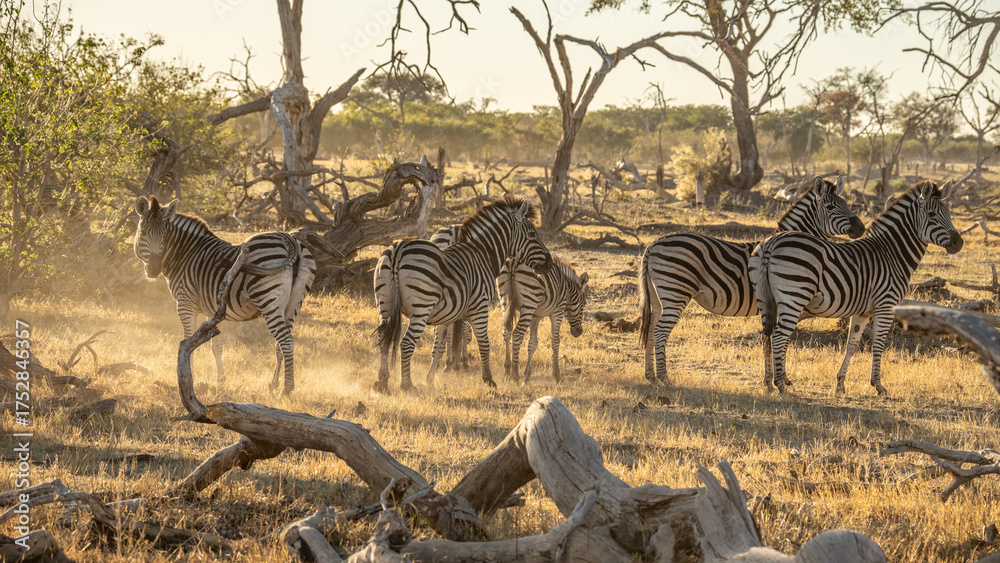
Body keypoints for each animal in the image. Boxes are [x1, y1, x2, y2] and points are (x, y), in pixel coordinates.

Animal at [133, 195, 315, 396]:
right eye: (143, 233)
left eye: (164, 235)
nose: (154, 269)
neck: (185, 254)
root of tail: (291, 240)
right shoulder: (213, 309)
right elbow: (216, 346)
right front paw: (221, 380)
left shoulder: (185, 303)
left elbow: (188, 343)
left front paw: (187, 377)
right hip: (294, 303)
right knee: (280, 344)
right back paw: (273, 384)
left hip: (267, 298)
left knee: (286, 341)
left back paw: (287, 389)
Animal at [374, 196, 553, 393]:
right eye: (532, 234)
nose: (550, 263)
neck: (483, 255)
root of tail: (398, 249)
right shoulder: (480, 307)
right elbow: (484, 343)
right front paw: (489, 380)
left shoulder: (445, 315)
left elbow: (439, 346)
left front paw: (431, 379)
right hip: (421, 307)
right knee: (406, 343)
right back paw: (407, 386)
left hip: (385, 303)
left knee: (383, 338)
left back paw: (382, 380)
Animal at [498, 255, 588, 384]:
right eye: (584, 304)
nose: (578, 332)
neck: (567, 288)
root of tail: (513, 262)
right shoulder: (558, 311)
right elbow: (555, 341)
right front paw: (557, 375)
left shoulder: (535, 316)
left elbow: (533, 343)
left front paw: (528, 374)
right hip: (529, 302)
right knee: (517, 334)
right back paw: (515, 375)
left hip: (504, 300)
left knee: (506, 332)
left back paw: (507, 370)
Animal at [638, 176, 865, 383]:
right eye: (830, 207)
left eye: (847, 205)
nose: (861, 229)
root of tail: (653, 244)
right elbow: (780, 339)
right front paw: (780, 379)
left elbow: (770, 337)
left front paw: (772, 379)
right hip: (676, 291)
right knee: (660, 332)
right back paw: (664, 378)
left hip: (658, 295)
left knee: (650, 330)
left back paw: (650, 376)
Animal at [751, 180, 963, 396]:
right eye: (932, 214)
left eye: (949, 213)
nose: (959, 243)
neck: (892, 255)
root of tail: (771, 242)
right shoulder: (885, 306)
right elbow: (878, 345)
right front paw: (878, 385)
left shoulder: (862, 312)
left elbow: (851, 345)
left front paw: (840, 384)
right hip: (794, 296)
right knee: (779, 336)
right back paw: (780, 385)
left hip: (766, 297)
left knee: (767, 334)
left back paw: (768, 383)